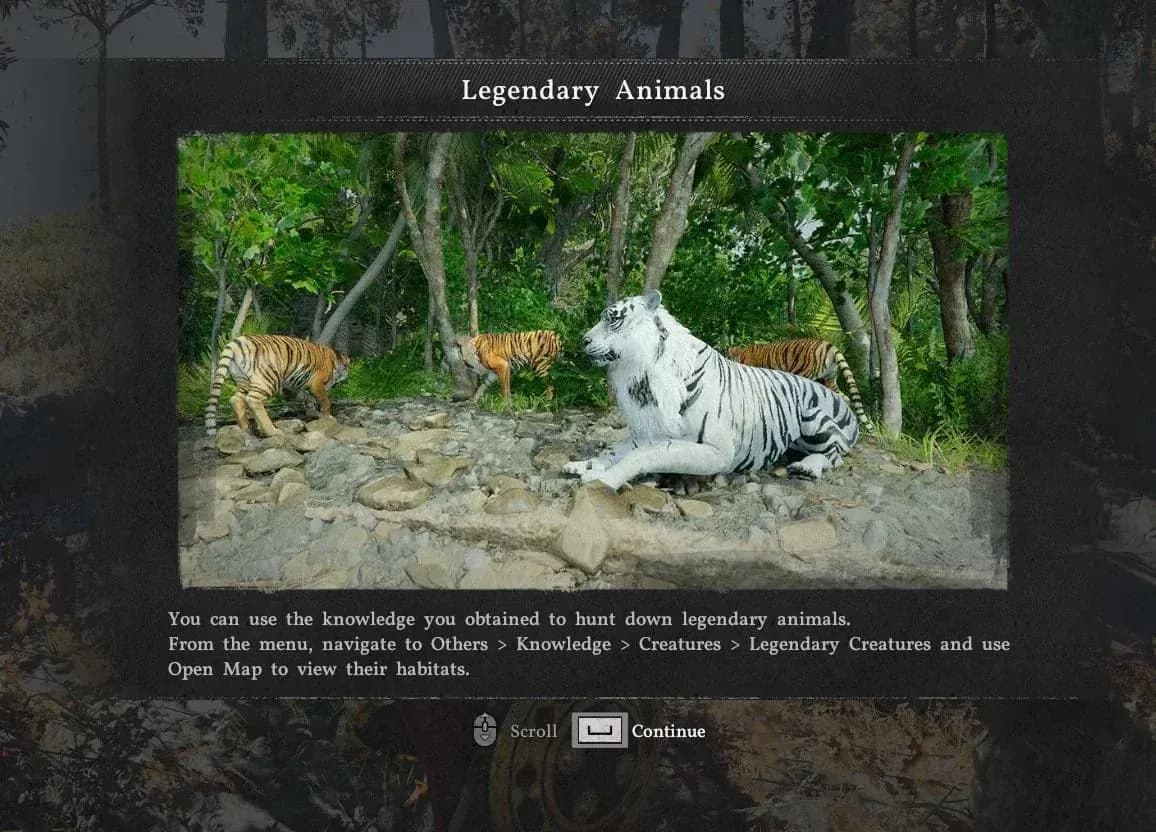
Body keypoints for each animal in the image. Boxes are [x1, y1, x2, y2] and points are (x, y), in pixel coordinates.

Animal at [204, 334, 351, 438]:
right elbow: (325, 401)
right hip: (269, 379)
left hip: (244, 380)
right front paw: (328, 417)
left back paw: (245, 429)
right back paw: (272, 431)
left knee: (236, 399)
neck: (334, 361)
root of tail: (237, 341)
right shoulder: (316, 383)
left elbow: (309, 400)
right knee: (253, 400)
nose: (344, 378)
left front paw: (314, 414)